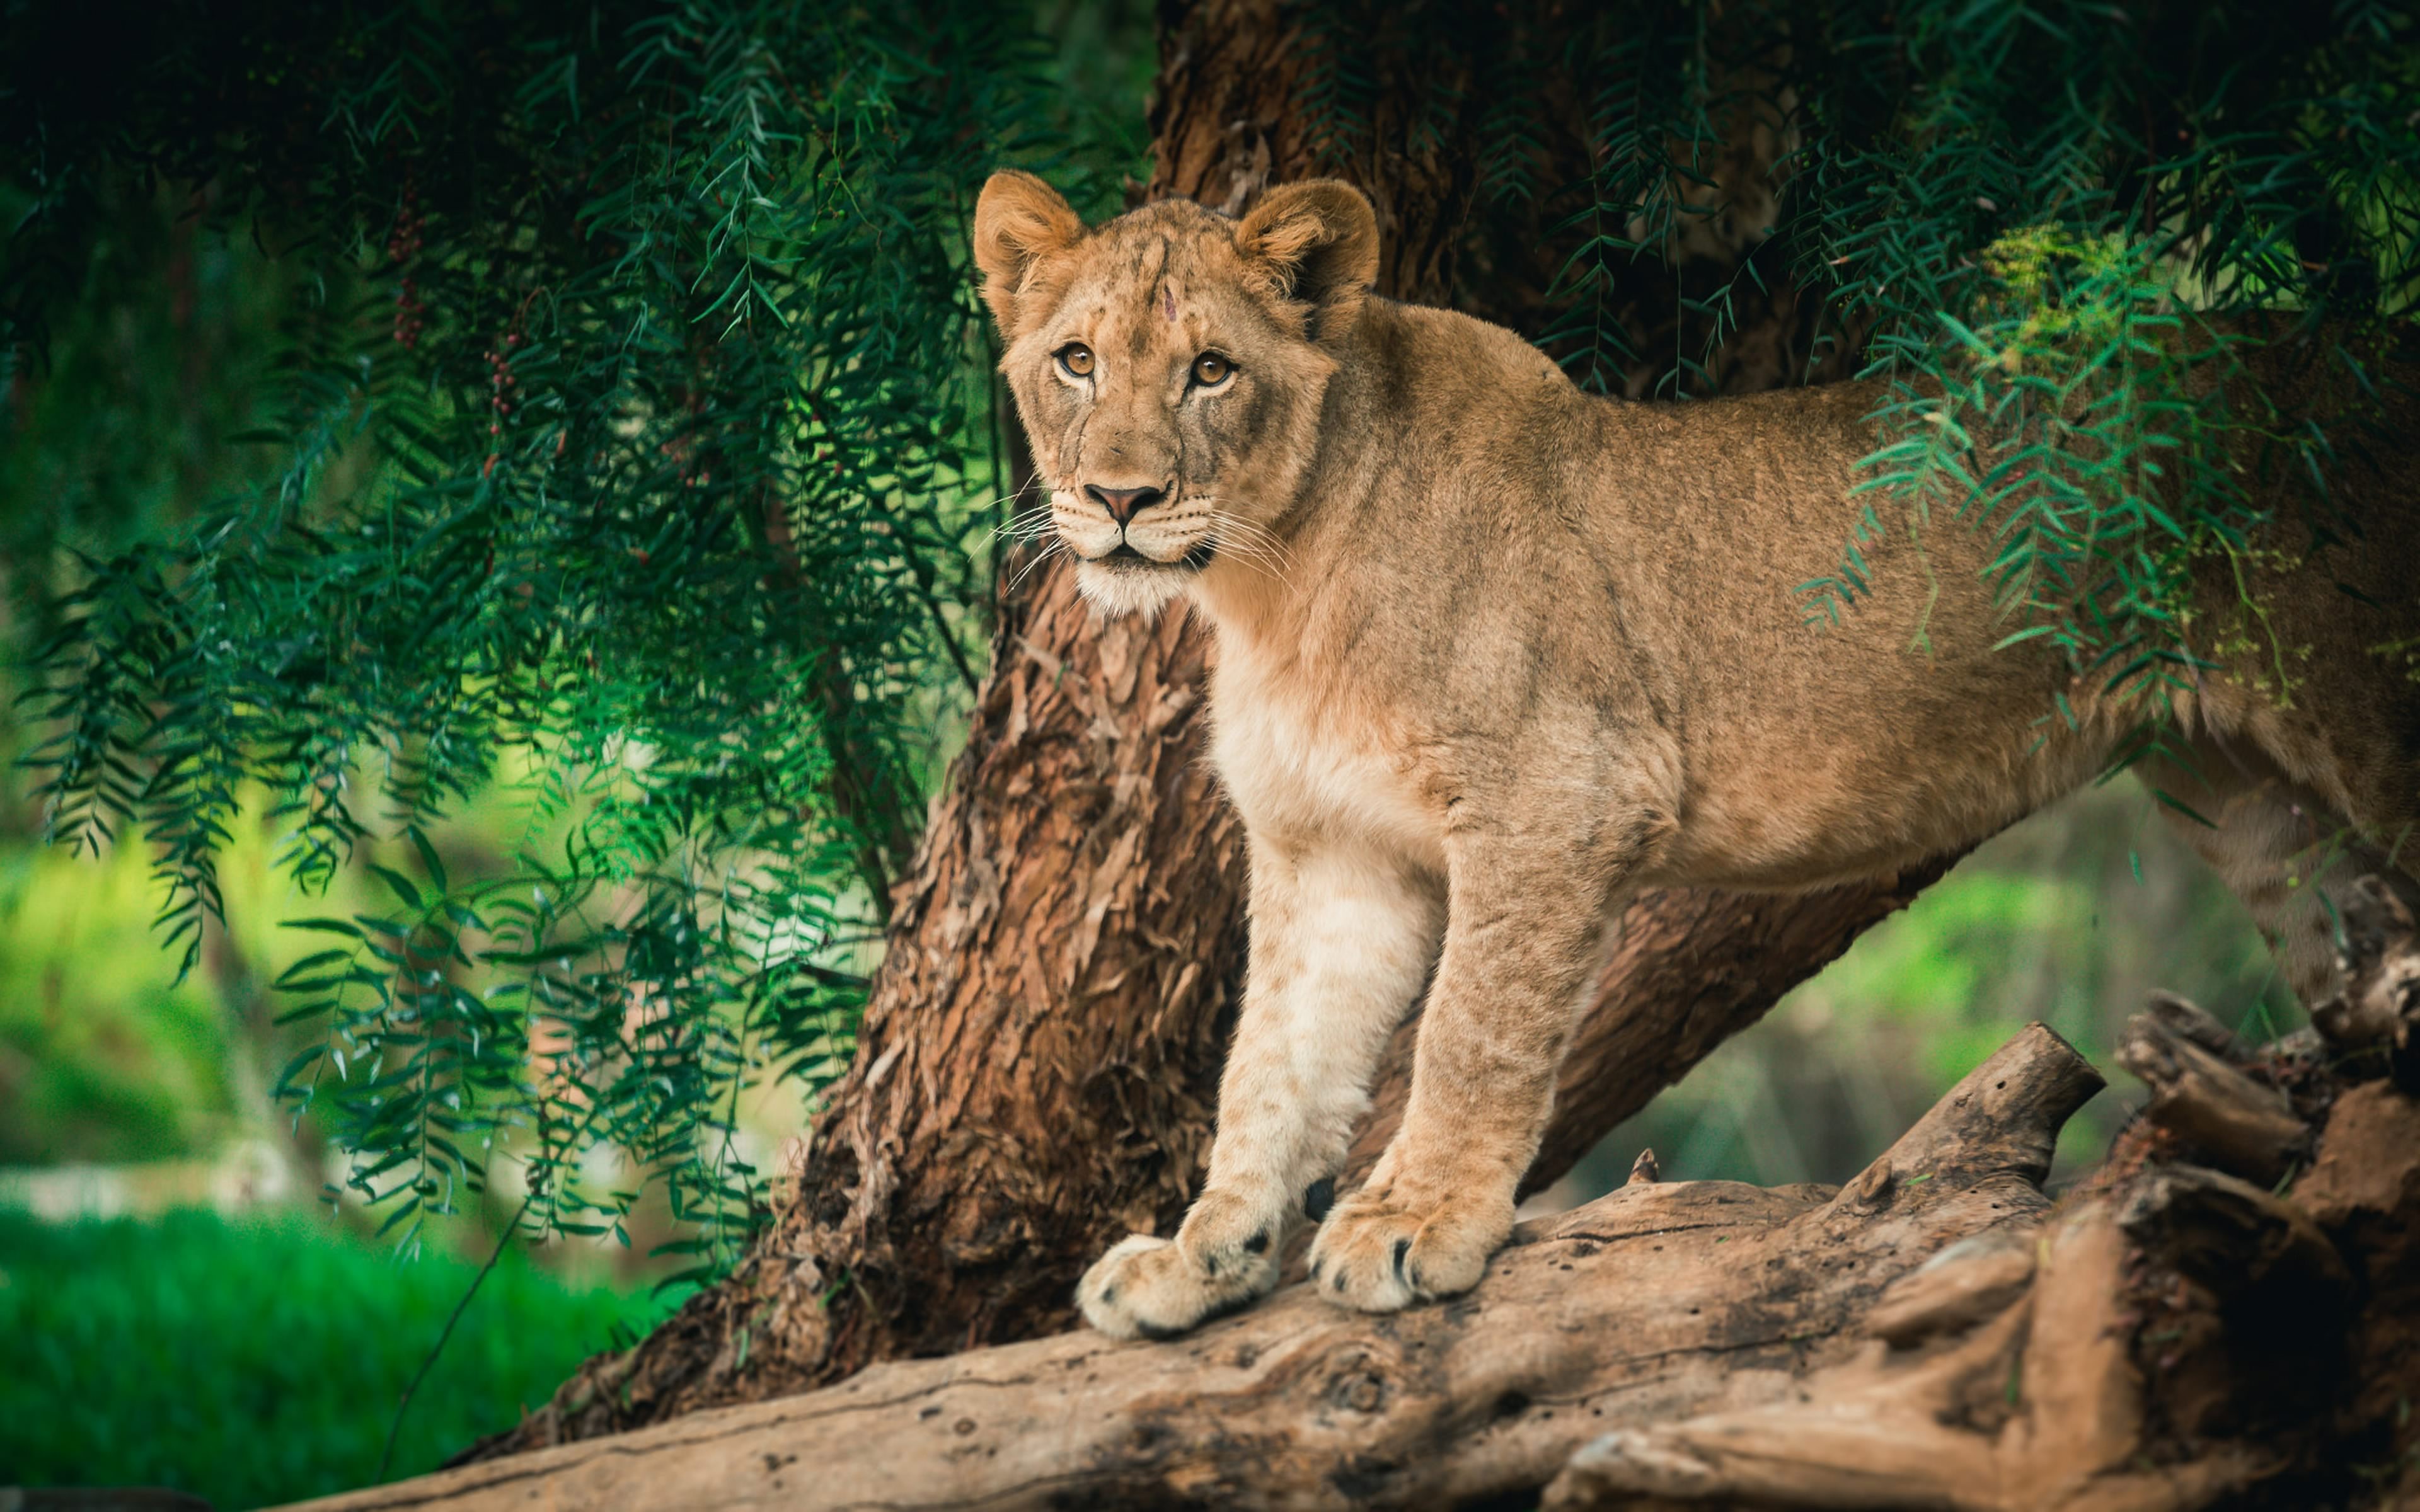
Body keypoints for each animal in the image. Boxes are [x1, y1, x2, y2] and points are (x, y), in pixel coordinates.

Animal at [969, 169, 2420, 1341]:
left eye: (1212, 371)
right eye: (1077, 360)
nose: (1118, 500)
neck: (1272, 582)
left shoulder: (1555, 795)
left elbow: (1472, 1032)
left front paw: (1414, 1222)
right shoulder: (1333, 855)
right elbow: (1272, 1068)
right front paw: (1203, 1258)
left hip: (2364, 704)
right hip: (2248, 797)